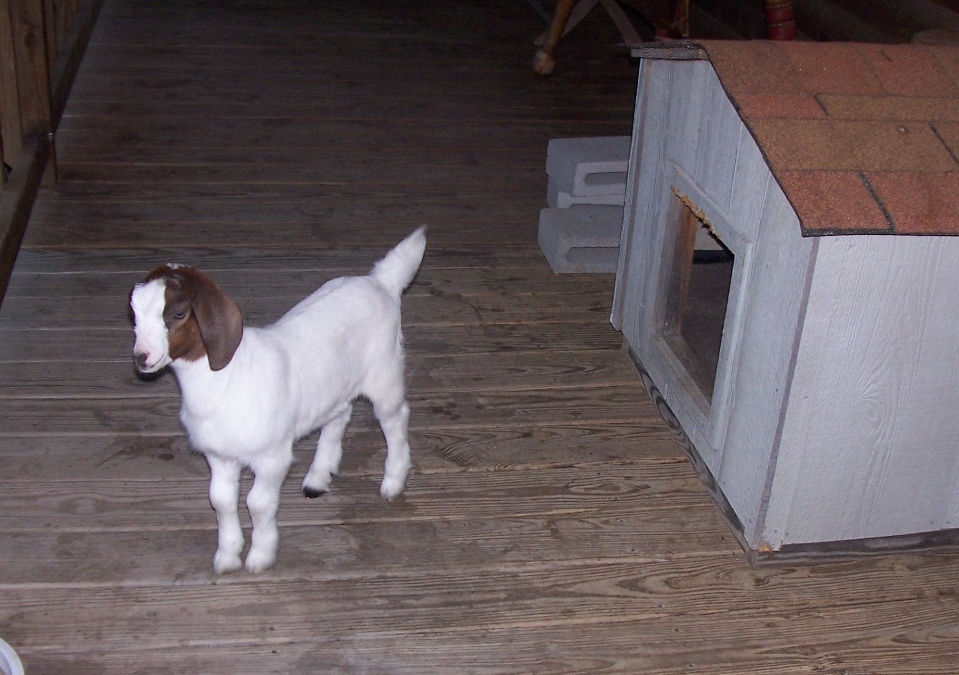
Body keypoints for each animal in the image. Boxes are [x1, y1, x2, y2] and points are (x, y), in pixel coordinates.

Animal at [130, 227, 426, 573]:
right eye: (134, 313)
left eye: (178, 314)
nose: (142, 358)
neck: (226, 378)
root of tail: (380, 281)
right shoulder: (220, 454)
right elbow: (221, 500)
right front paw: (227, 557)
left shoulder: (272, 457)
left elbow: (257, 503)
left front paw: (260, 556)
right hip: (333, 385)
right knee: (339, 414)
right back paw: (318, 477)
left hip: (384, 373)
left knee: (395, 418)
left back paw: (393, 480)